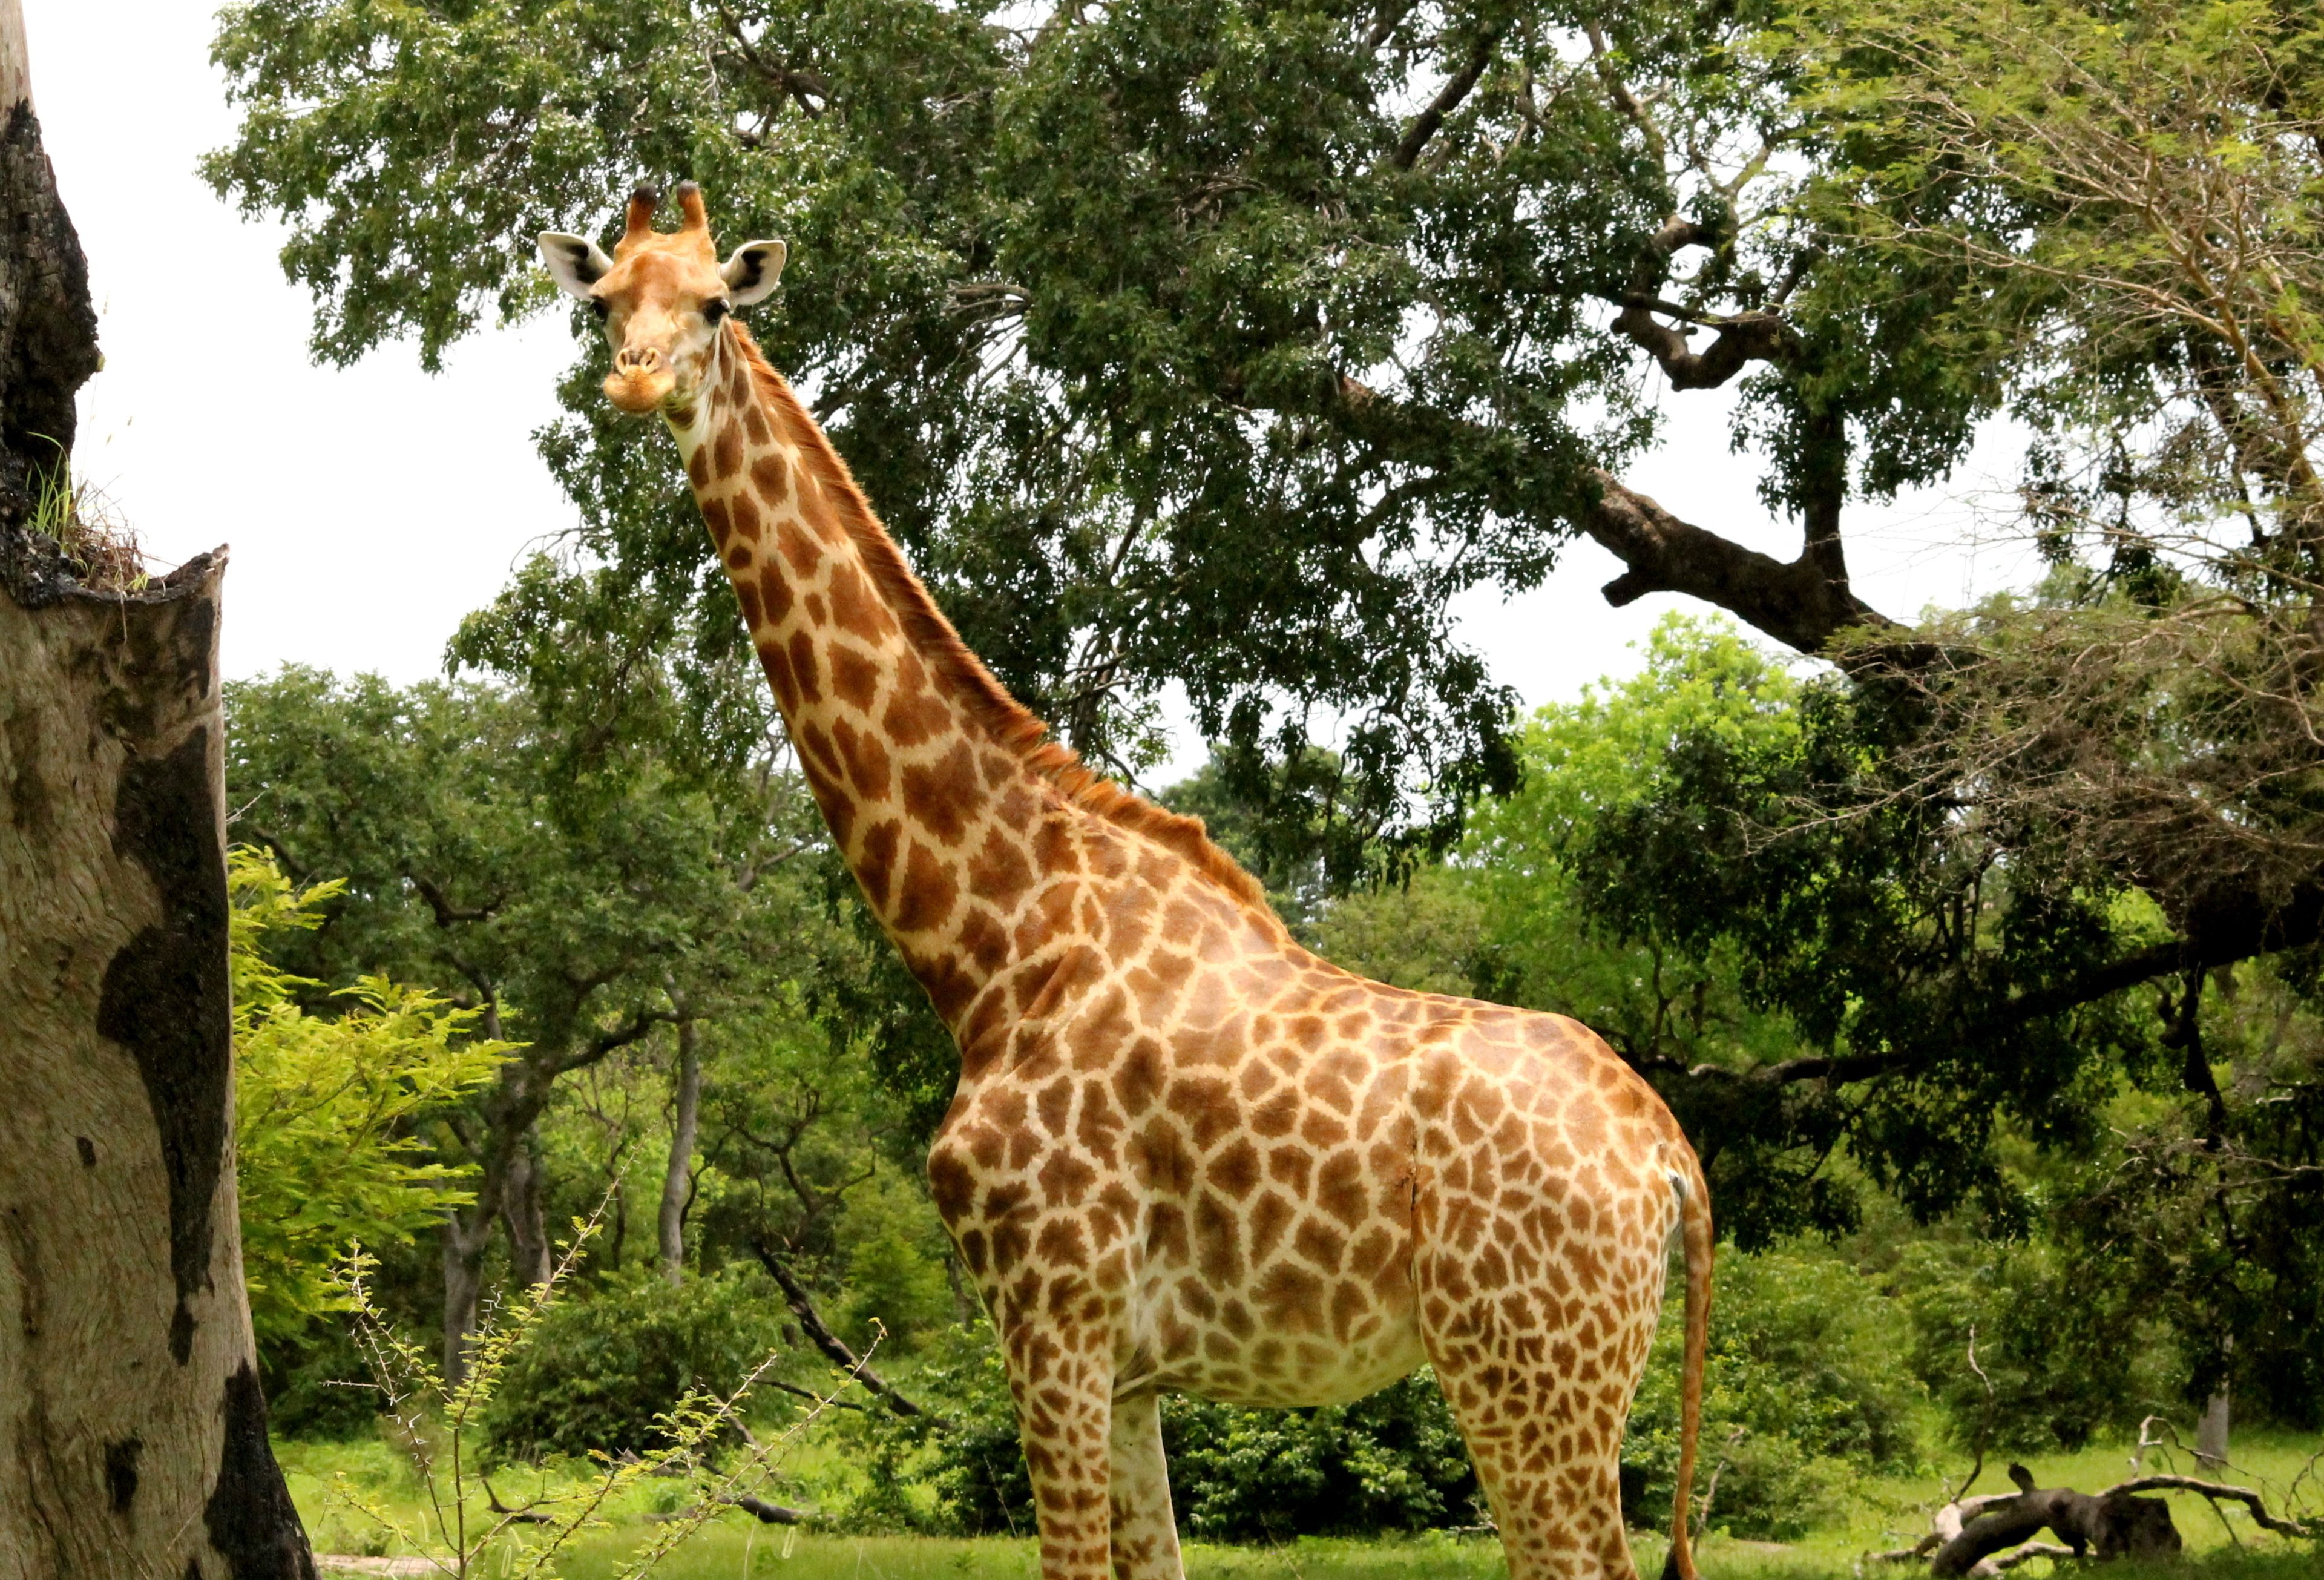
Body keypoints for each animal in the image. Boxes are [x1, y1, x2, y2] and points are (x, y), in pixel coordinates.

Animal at [539, 184, 1712, 1580]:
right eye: (607, 298)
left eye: (718, 302)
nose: (633, 378)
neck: (992, 937)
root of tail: (1670, 1163)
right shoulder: (1131, 1367)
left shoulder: (1053, 1310)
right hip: (1563, 1375)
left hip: (1526, 1373)